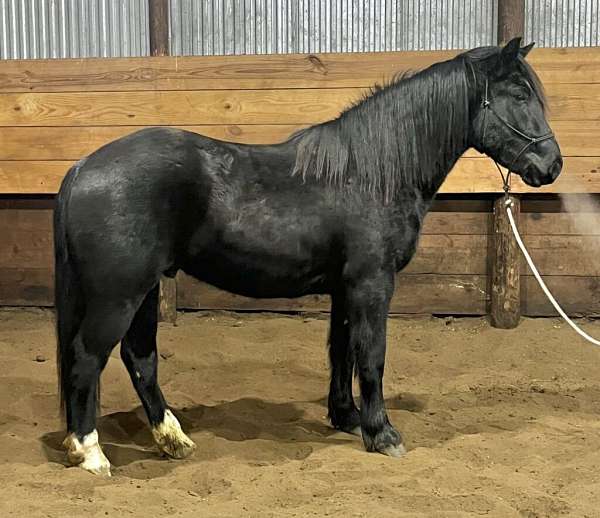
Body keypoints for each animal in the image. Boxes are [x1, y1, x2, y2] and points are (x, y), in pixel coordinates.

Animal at [54, 38, 560, 478]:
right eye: (519, 94)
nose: (552, 165)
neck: (372, 174)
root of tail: (83, 167)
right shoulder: (372, 283)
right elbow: (371, 355)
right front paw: (382, 433)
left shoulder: (344, 288)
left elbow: (342, 351)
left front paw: (347, 416)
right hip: (120, 295)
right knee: (88, 356)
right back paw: (91, 452)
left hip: (144, 290)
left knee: (140, 357)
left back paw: (172, 439)